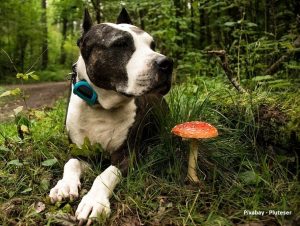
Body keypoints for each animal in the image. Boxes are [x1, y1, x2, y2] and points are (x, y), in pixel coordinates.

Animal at [48, 8, 172, 222]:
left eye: (152, 45)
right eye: (121, 44)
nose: (167, 63)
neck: (101, 107)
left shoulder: (127, 155)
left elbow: (106, 173)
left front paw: (94, 201)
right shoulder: (83, 154)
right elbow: (71, 162)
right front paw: (64, 184)